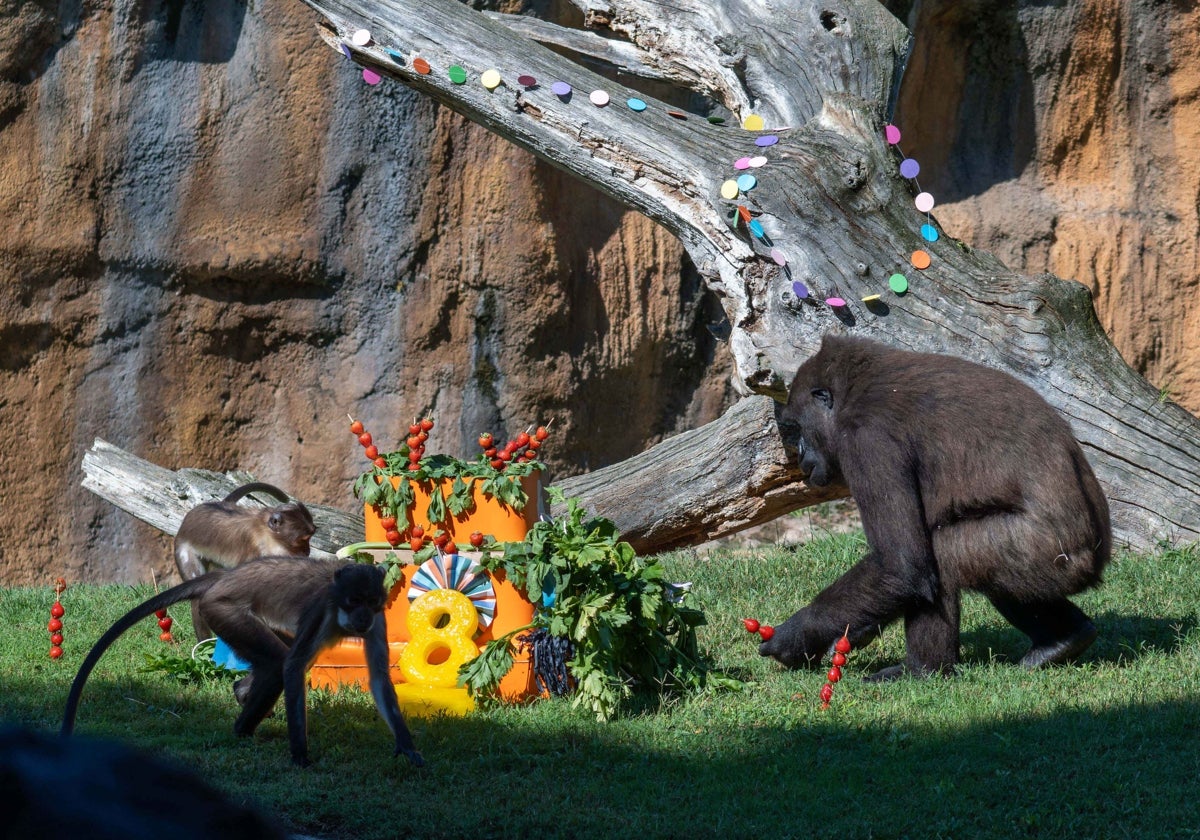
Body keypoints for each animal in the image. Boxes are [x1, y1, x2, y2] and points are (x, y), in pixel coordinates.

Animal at [63, 556, 427, 768]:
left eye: (372, 601)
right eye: (354, 600)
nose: (363, 617)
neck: (341, 614)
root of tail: (224, 578)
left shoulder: (378, 621)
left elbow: (378, 677)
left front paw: (407, 746)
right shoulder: (321, 610)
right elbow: (292, 667)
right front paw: (300, 755)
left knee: (273, 663)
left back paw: (242, 692)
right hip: (222, 610)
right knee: (278, 663)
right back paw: (242, 729)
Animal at [174, 482, 316, 638]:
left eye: (310, 536)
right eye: (302, 540)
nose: (307, 551)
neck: (265, 533)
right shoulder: (253, 550)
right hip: (184, 549)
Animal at [763, 331, 1108, 681]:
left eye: (797, 428)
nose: (800, 455)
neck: (853, 392)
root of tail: (1097, 560)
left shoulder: (868, 439)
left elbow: (901, 565)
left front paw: (795, 637)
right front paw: (856, 631)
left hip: (1048, 554)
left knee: (942, 558)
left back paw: (921, 670)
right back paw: (1064, 639)